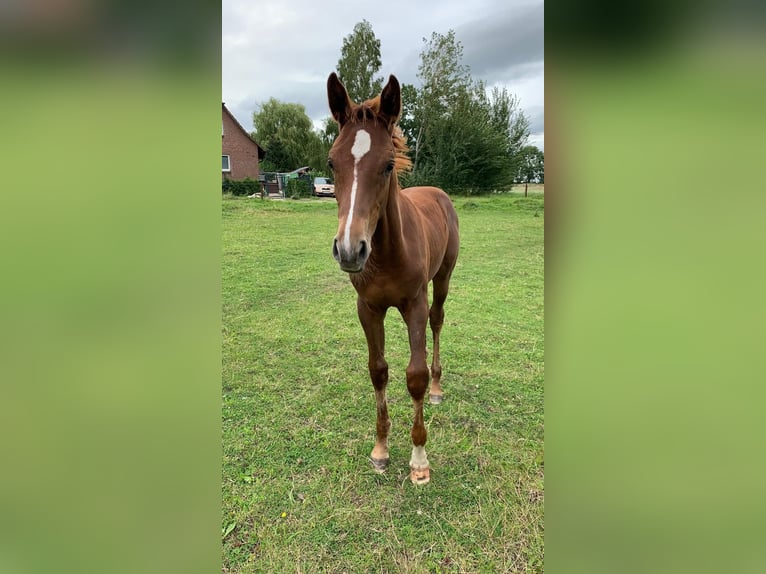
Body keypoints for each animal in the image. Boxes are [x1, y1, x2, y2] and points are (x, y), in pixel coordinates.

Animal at [326, 73, 460, 486]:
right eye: (331, 162)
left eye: (387, 165)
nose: (349, 249)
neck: (385, 256)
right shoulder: (368, 308)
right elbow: (378, 372)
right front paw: (381, 449)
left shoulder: (413, 304)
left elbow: (414, 375)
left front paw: (419, 460)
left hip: (443, 278)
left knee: (438, 321)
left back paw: (438, 388)